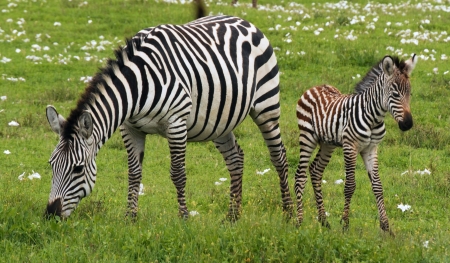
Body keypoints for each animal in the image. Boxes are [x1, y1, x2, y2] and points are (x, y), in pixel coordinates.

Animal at [44, 14, 294, 221]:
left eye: (78, 169)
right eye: (51, 165)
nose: (50, 214)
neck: (138, 87)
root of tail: (244, 21)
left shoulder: (176, 123)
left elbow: (178, 173)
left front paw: (184, 217)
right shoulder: (130, 128)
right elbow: (134, 173)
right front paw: (130, 218)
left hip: (266, 105)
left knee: (279, 156)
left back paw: (290, 213)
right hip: (220, 120)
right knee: (235, 158)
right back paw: (233, 216)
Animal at [296, 54, 418, 235]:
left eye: (410, 93)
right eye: (395, 94)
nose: (408, 125)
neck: (374, 118)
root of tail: (315, 87)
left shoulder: (371, 149)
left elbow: (377, 186)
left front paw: (386, 227)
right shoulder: (350, 146)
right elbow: (350, 186)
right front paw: (345, 224)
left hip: (327, 144)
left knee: (316, 171)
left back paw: (324, 221)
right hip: (307, 137)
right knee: (300, 175)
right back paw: (298, 221)